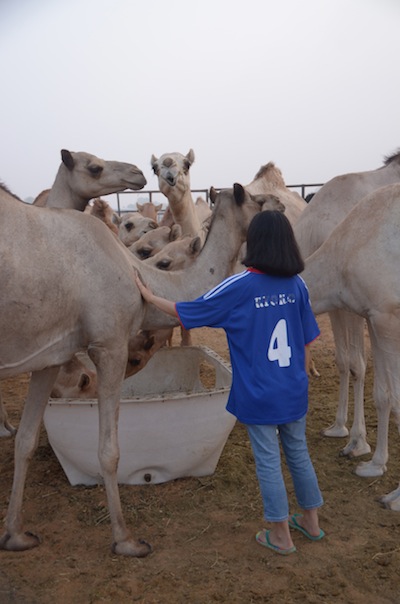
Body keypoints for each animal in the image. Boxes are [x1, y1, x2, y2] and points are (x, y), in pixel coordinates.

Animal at [0, 180, 266, 556]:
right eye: (259, 202)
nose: (279, 208)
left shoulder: (50, 353)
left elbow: (26, 441)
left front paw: (15, 535)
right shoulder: (110, 345)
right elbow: (109, 451)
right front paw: (125, 540)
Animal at [292, 149, 400, 456]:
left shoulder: (364, 308)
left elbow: (357, 365)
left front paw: (358, 442)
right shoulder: (346, 306)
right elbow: (344, 362)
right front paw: (340, 428)